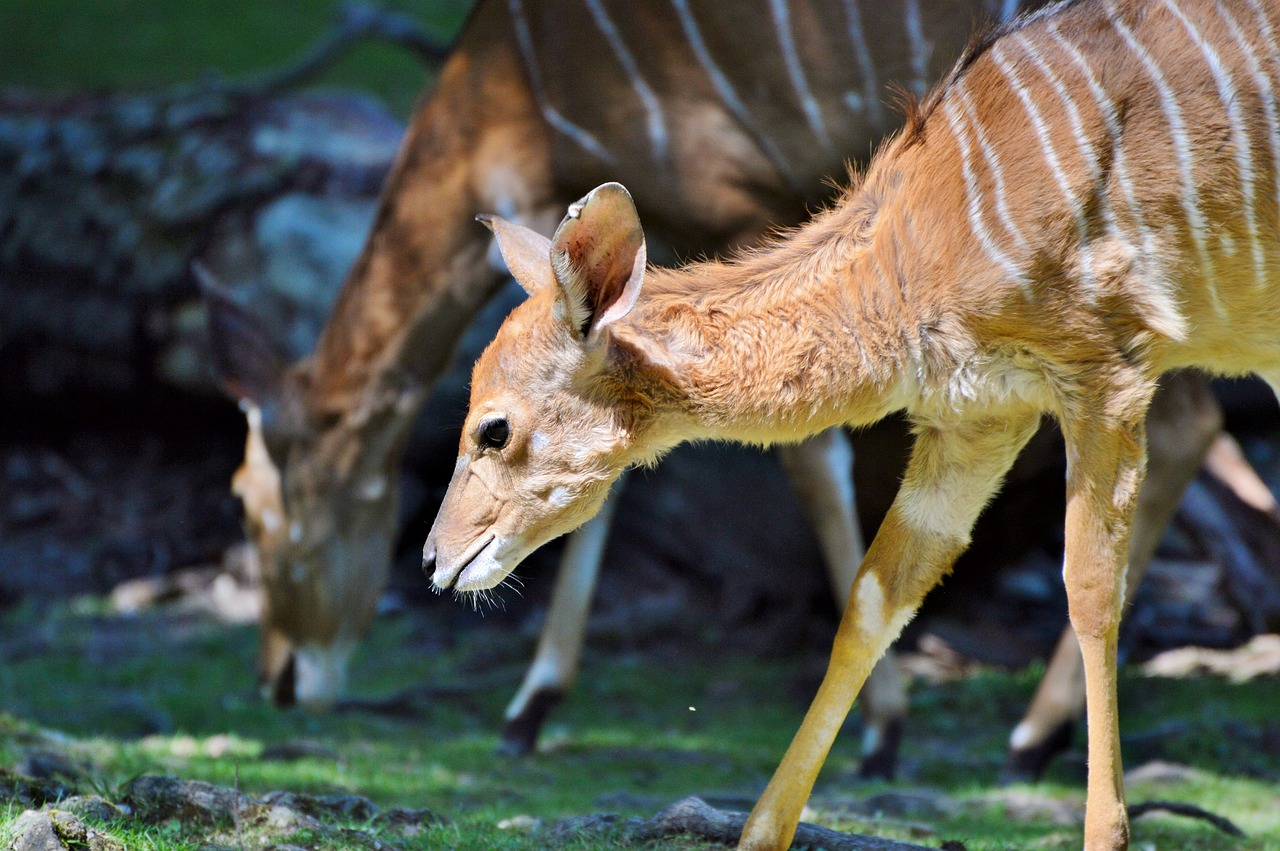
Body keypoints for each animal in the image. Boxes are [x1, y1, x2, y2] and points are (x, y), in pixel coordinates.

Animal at [212, 0, 1228, 778]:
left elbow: (808, 460)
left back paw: (1030, 733)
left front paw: (886, 730)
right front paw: (531, 704)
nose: (278, 678)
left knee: (1186, 419)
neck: (519, 88)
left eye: (257, 506)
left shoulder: (736, 200)